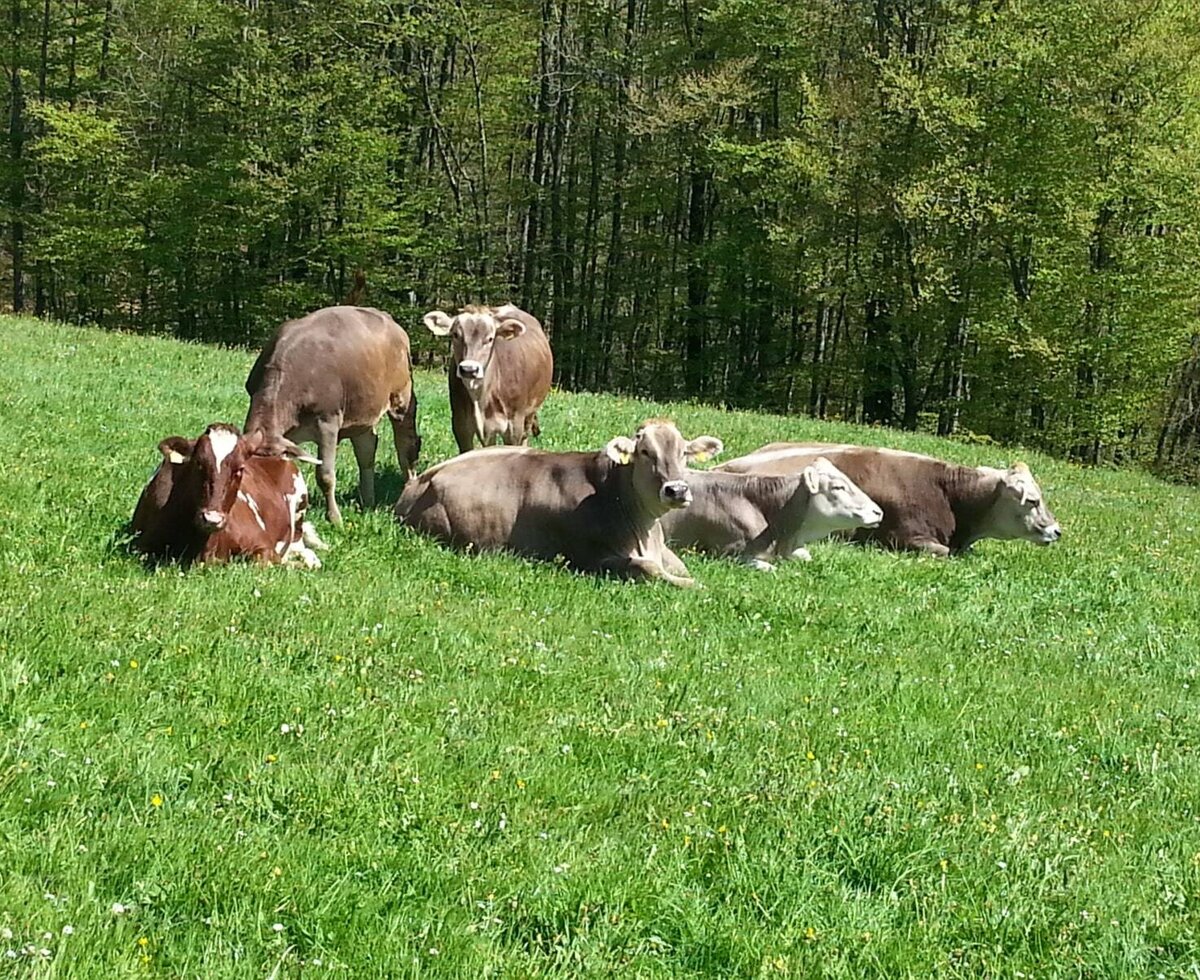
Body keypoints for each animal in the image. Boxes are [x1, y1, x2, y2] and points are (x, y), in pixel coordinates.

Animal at [245, 305, 420, 526]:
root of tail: (389, 320)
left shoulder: (327, 421)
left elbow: (325, 475)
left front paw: (335, 518)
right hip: (362, 409)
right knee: (367, 449)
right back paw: (367, 501)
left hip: (401, 398)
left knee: (405, 445)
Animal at [395, 419, 723, 586]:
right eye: (644, 452)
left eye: (683, 452)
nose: (676, 490)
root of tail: (417, 482)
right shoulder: (588, 557)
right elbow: (651, 569)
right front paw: (696, 585)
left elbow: (679, 565)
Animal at [423, 304, 553, 453]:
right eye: (455, 334)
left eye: (490, 338)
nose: (469, 369)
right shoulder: (460, 424)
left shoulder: (514, 425)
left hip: (529, 413)